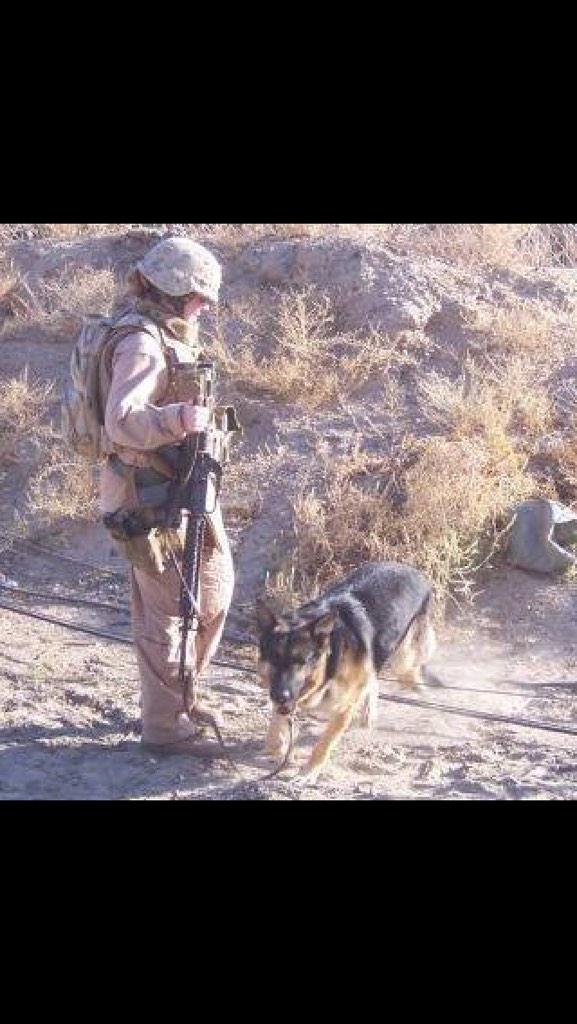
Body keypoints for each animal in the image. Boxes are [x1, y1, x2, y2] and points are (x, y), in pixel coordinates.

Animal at [256, 561, 437, 783]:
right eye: (273, 658)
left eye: (302, 661)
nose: (280, 696)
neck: (330, 661)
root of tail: (412, 570)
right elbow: (275, 728)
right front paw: (279, 748)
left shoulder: (343, 709)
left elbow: (324, 744)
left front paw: (308, 771)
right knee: (373, 679)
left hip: (402, 659)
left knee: (408, 674)